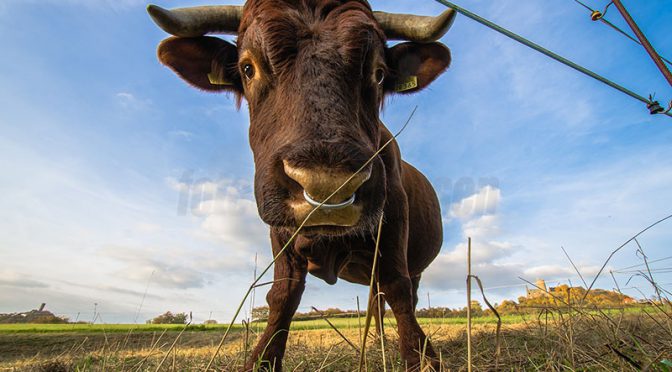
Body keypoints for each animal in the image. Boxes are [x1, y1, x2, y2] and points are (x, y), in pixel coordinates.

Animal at [146, 1, 452, 370]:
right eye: (248, 67)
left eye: (379, 73)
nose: (326, 185)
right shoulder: (281, 228)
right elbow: (283, 293)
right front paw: (262, 359)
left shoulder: (392, 215)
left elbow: (398, 286)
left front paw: (421, 358)